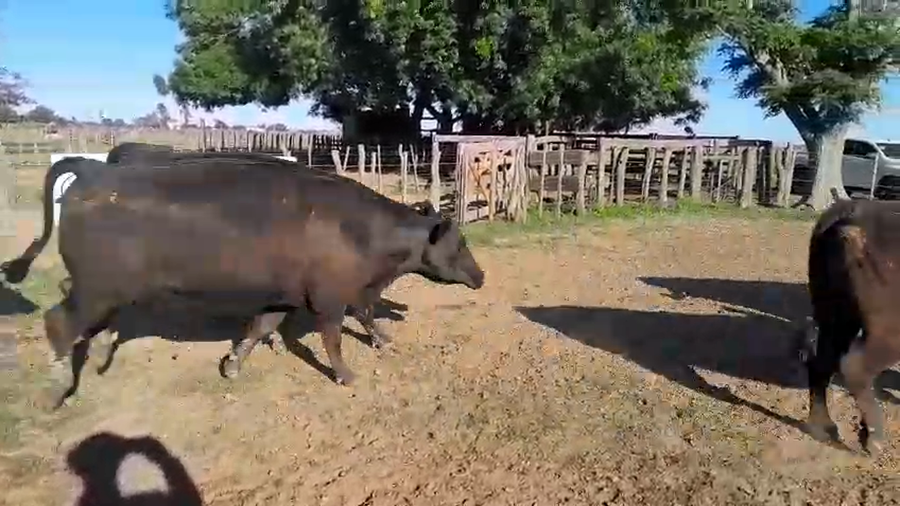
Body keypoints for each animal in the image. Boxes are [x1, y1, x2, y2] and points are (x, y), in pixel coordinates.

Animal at [22, 155, 484, 409]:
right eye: (460, 243)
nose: (481, 275)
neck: (363, 233)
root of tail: (93, 169)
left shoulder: (284, 296)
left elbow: (260, 327)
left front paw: (232, 365)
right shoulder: (331, 298)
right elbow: (335, 337)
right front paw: (346, 375)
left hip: (101, 291)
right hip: (96, 289)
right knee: (58, 322)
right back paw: (57, 389)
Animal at [800, 197, 900, 456]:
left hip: (835, 315)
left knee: (821, 361)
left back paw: (824, 428)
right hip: (887, 331)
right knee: (854, 367)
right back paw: (873, 440)